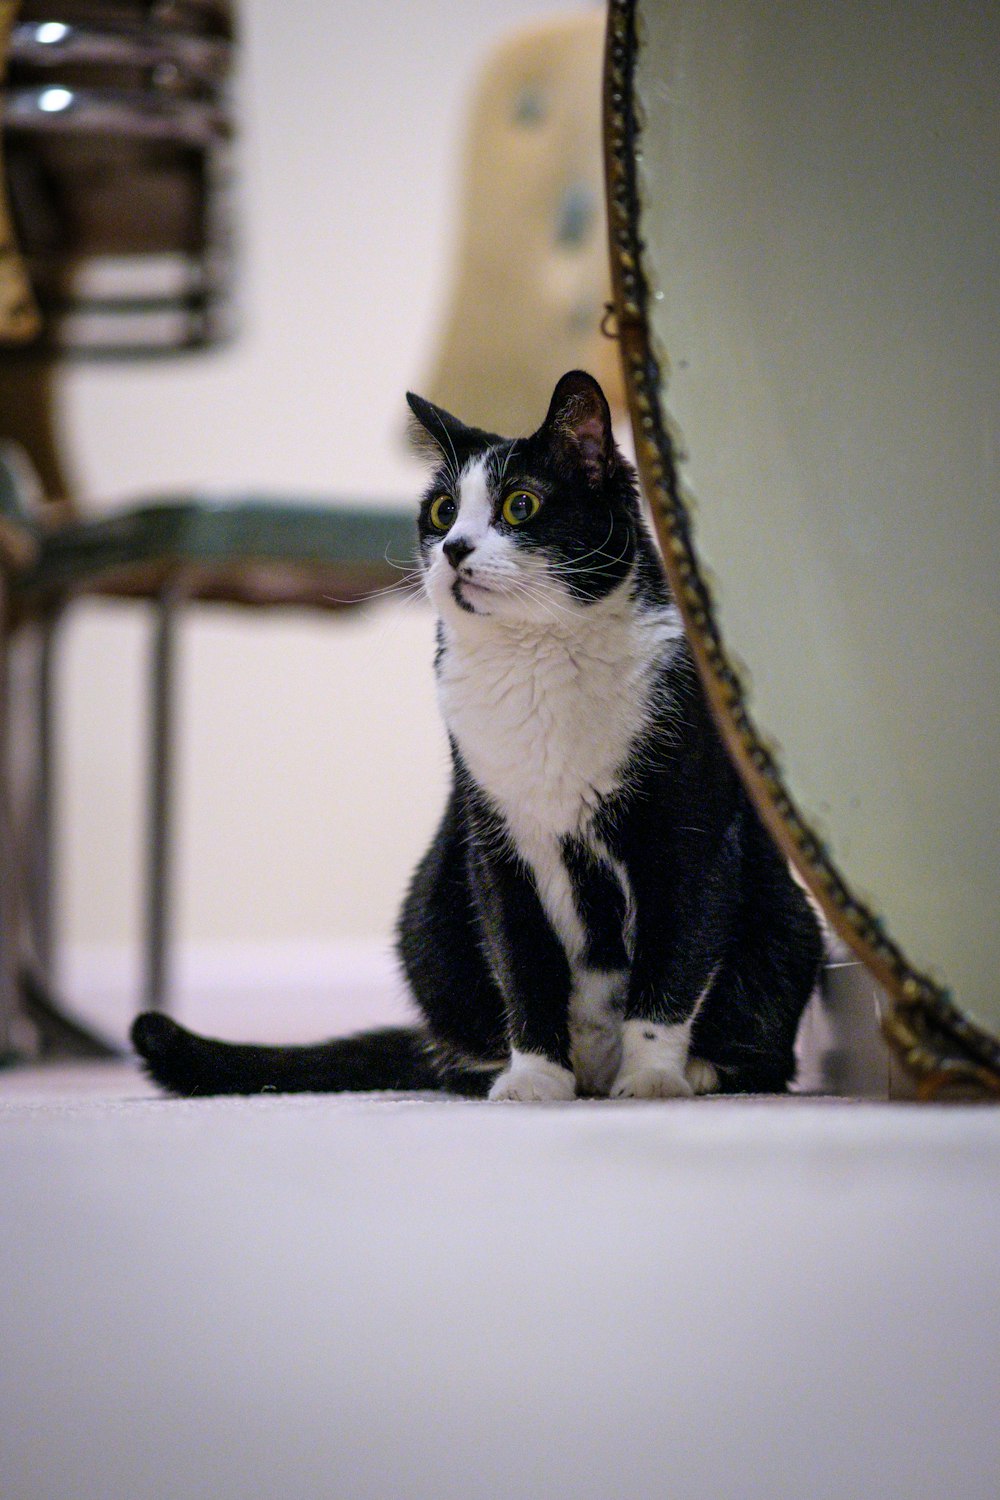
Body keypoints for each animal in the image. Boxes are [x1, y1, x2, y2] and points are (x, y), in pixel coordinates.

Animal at [132, 372, 821, 1104]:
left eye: (521, 504)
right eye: (441, 512)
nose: (455, 548)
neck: (538, 661)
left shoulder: (688, 835)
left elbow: (673, 963)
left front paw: (652, 1080)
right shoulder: (494, 842)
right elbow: (521, 962)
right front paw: (535, 1081)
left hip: (788, 922)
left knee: (767, 1037)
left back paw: (697, 1071)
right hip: (427, 915)